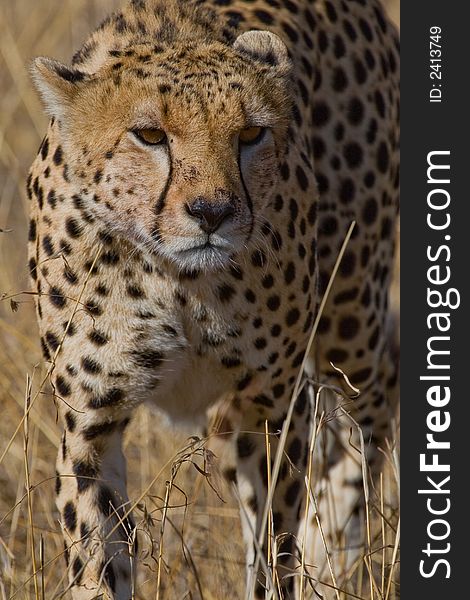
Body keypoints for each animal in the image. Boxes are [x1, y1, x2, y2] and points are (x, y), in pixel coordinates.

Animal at [28, 1, 396, 596]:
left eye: (250, 134)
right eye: (150, 135)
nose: (212, 212)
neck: (178, 280)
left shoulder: (271, 408)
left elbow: (273, 545)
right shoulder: (89, 426)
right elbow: (97, 556)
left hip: (350, 311)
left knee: (372, 408)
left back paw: (335, 555)